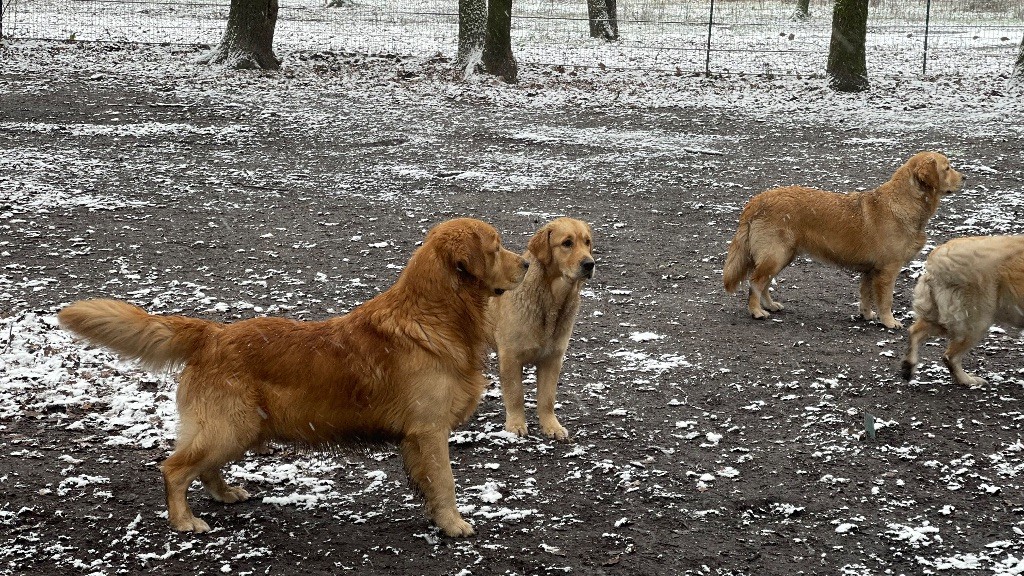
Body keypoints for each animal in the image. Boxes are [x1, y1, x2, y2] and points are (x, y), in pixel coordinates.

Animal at [58, 217, 528, 537]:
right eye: (496, 247)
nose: (526, 263)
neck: (436, 315)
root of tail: (212, 334)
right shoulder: (429, 430)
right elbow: (446, 482)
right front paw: (453, 523)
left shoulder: (417, 438)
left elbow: (429, 484)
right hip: (229, 426)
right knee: (174, 469)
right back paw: (184, 520)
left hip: (240, 429)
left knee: (204, 468)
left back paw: (224, 493)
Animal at [485, 217, 593, 436]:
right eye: (567, 243)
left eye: (587, 242)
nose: (589, 264)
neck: (552, 303)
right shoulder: (510, 357)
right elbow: (515, 395)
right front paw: (516, 425)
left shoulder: (552, 358)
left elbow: (547, 398)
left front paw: (552, 426)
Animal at [724, 150, 962, 325]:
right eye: (947, 168)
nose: (965, 177)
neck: (905, 201)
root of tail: (756, 201)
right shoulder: (888, 270)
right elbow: (886, 300)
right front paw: (889, 321)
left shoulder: (870, 270)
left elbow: (866, 296)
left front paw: (867, 315)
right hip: (776, 254)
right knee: (755, 282)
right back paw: (756, 311)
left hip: (782, 256)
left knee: (764, 282)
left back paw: (770, 305)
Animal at [901, 233, 1019, 385]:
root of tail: (939, 256)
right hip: (975, 320)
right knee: (950, 356)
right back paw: (967, 380)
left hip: (943, 316)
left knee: (914, 331)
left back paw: (908, 366)